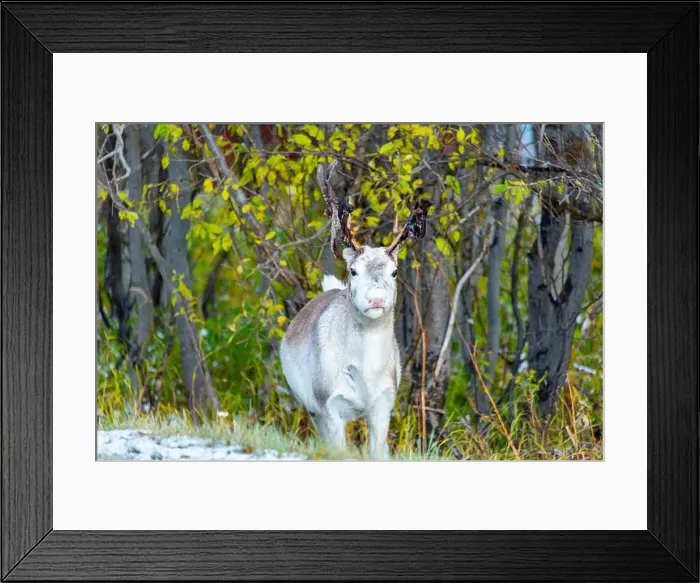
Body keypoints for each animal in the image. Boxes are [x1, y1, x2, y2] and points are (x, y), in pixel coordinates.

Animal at [280, 160, 432, 459]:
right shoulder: (329, 403)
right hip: (312, 408)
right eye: (353, 270)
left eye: (394, 272)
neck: (366, 374)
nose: (376, 298)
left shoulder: (383, 404)